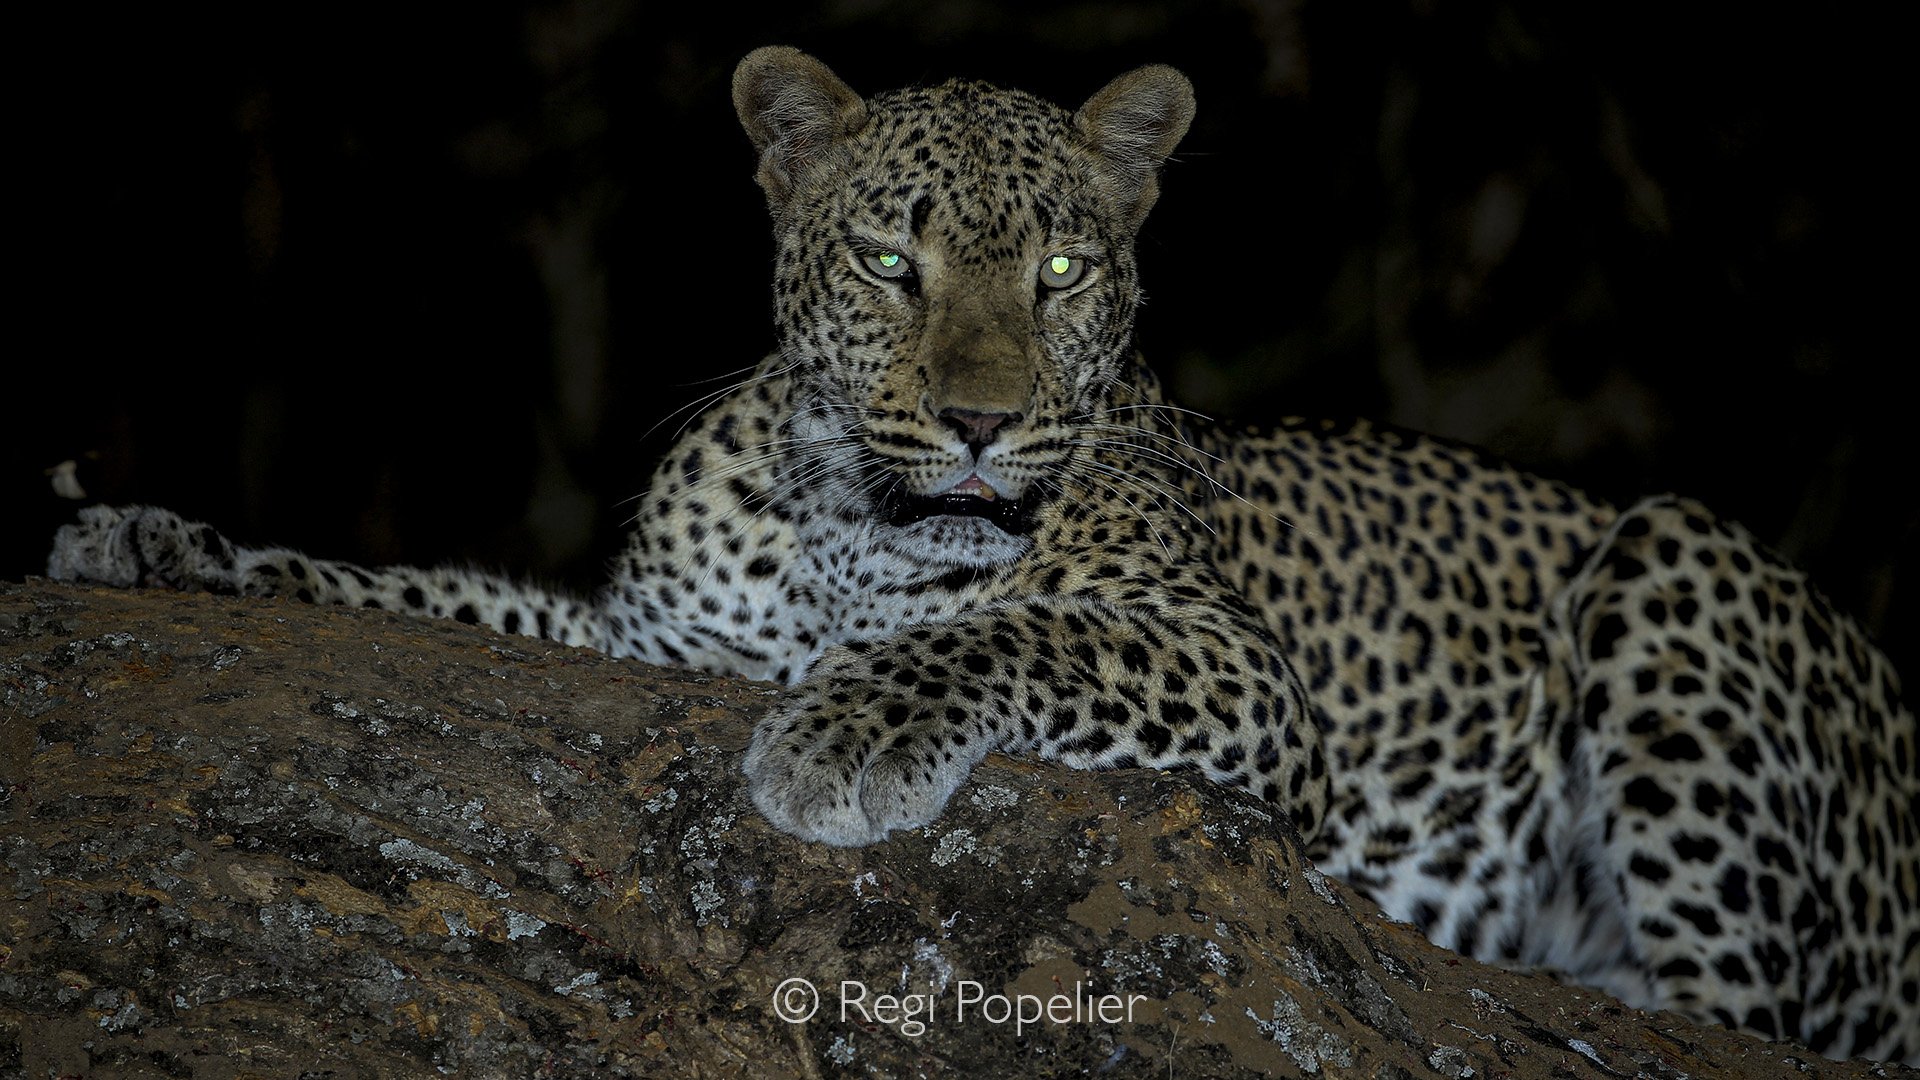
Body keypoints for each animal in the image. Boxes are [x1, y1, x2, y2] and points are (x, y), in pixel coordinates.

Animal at [44, 46, 1918, 1063]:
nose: (974, 423)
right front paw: (162, 544)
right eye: (891, 258)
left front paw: (839, 732)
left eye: (1067, 274)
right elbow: (433, 595)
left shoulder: (1233, 658)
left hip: (1679, 575)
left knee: (1730, 1017)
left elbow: (1021, 633)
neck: (842, 533)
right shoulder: (654, 649)